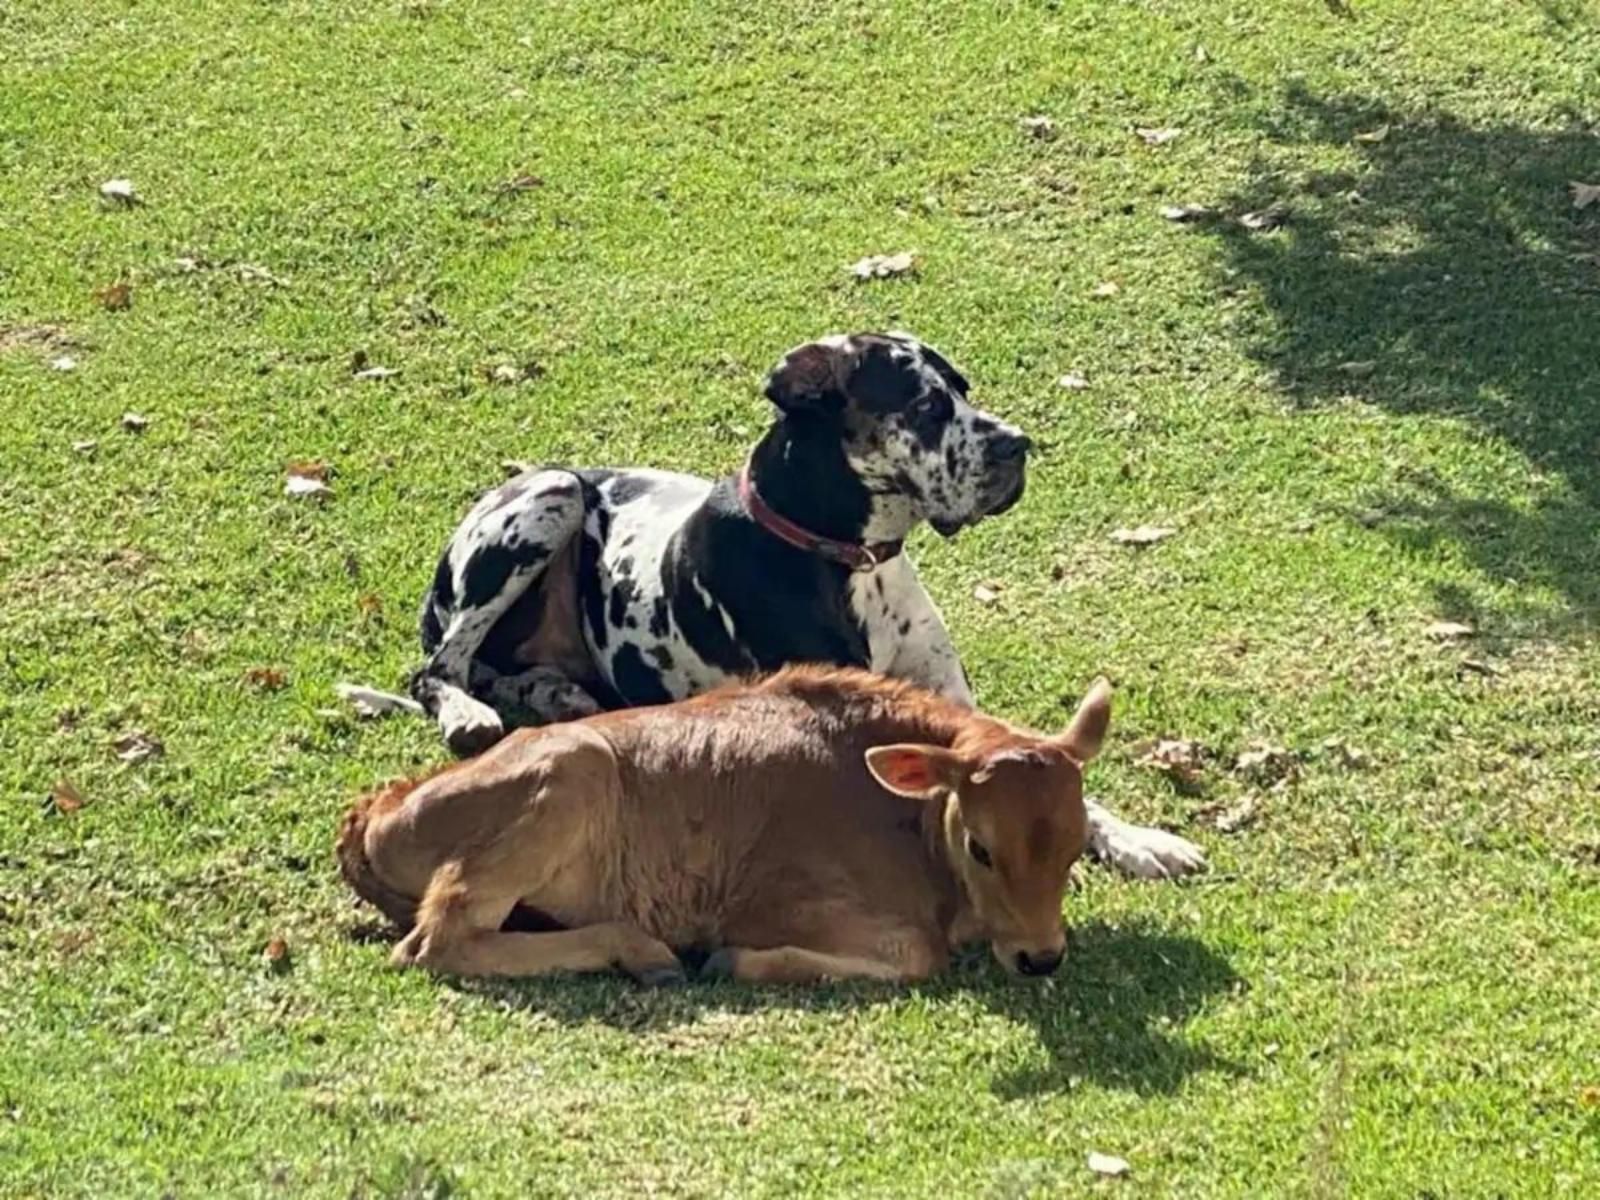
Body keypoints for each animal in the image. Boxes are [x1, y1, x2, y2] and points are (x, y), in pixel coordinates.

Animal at [337, 668, 1113, 985]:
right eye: (982, 847)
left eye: (1076, 847)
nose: (1042, 957)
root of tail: (376, 807)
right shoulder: (781, 906)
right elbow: (920, 956)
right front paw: (730, 961)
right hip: (574, 767)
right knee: (439, 940)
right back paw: (647, 953)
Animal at [380, 334, 1203, 876]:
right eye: (926, 405)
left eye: (965, 390)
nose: (1017, 445)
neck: (852, 561)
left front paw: (1140, 839)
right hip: (549, 494)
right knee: (438, 669)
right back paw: (469, 715)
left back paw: (555, 694)